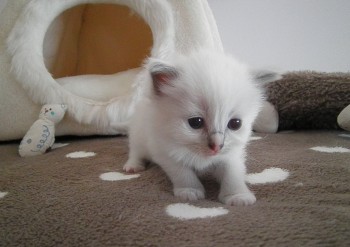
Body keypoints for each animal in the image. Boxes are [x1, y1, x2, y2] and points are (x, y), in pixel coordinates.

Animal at [124, 49, 278, 206]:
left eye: (235, 124)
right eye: (196, 122)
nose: (217, 146)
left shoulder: (231, 154)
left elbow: (232, 173)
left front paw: (238, 196)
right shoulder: (164, 151)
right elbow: (183, 172)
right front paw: (189, 191)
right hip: (138, 136)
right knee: (136, 152)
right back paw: (132, 166)